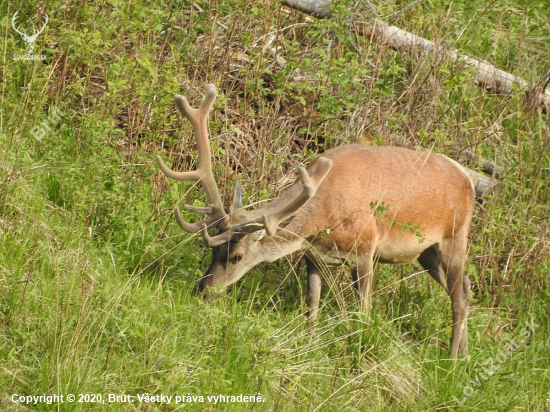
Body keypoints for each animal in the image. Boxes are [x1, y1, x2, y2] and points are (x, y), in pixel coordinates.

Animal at [157, 85, 476, 358]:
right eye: (212, 250)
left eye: (237, 256)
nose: (204, 289)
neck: (324, 217)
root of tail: (468, 179)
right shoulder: (313, 255)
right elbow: (312, 302)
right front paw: (309, 344)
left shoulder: (366, 248)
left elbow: (363, 311)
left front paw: (356, 350)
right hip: (426, 252)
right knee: (465, 289)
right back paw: (463, 353)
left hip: (456, 235)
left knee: (458, 296)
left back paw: (452, 360)